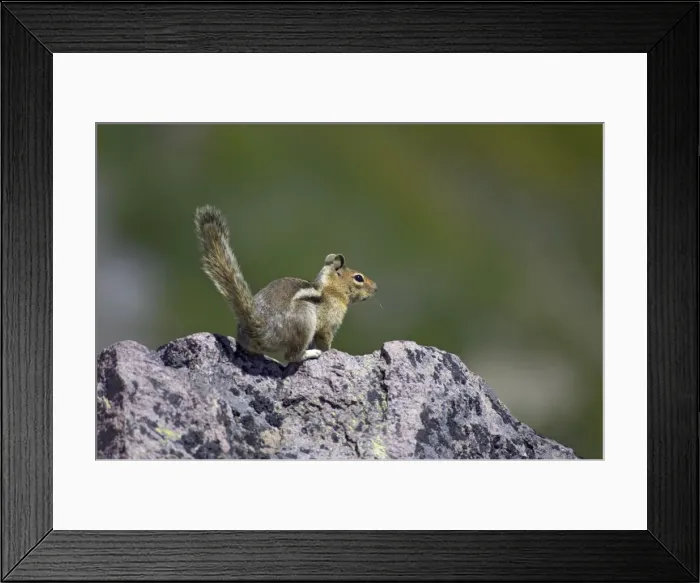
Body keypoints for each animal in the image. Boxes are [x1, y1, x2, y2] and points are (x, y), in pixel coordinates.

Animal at [193, 205, 378, 363]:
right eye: (359, 278)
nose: (376, 288)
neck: (331, 290)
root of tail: (259, 328)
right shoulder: (328, 324)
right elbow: (325, 341)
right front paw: (330, 351)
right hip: (304, 318)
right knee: (291, 356)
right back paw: (310, 354)